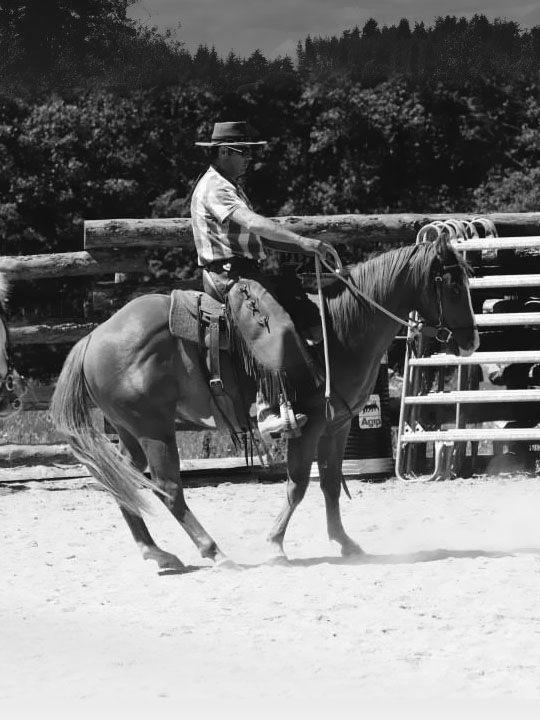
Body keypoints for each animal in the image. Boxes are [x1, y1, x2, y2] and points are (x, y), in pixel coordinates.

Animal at [50, 236, 478, 572]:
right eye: (454, 288)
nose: (471, 340)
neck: (339, 330)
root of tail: (93, 337)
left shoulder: (337, 425)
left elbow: (330, 485)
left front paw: (344, 543)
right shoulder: (310, 426)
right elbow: (299, 484)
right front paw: (275, 545)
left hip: (130, 431)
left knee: (121, 481)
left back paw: (156, 553)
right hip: (154, 429)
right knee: (168, 488)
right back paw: (214, 552)